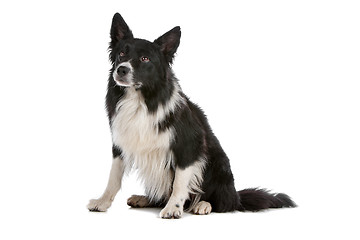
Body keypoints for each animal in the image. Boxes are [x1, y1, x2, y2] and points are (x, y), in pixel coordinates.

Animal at [87, 13, 296, 219]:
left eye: (145, 58)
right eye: (121, 54)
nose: (121, 69)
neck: (141, 98)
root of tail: (237, 197)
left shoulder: (189, 145)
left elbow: (180, 182)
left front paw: (173, 208)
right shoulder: (121, 143)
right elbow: (113, 177)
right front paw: (102, 202)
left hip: (219, 164)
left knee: (223, 202)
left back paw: (203, 204)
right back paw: (144, 199)